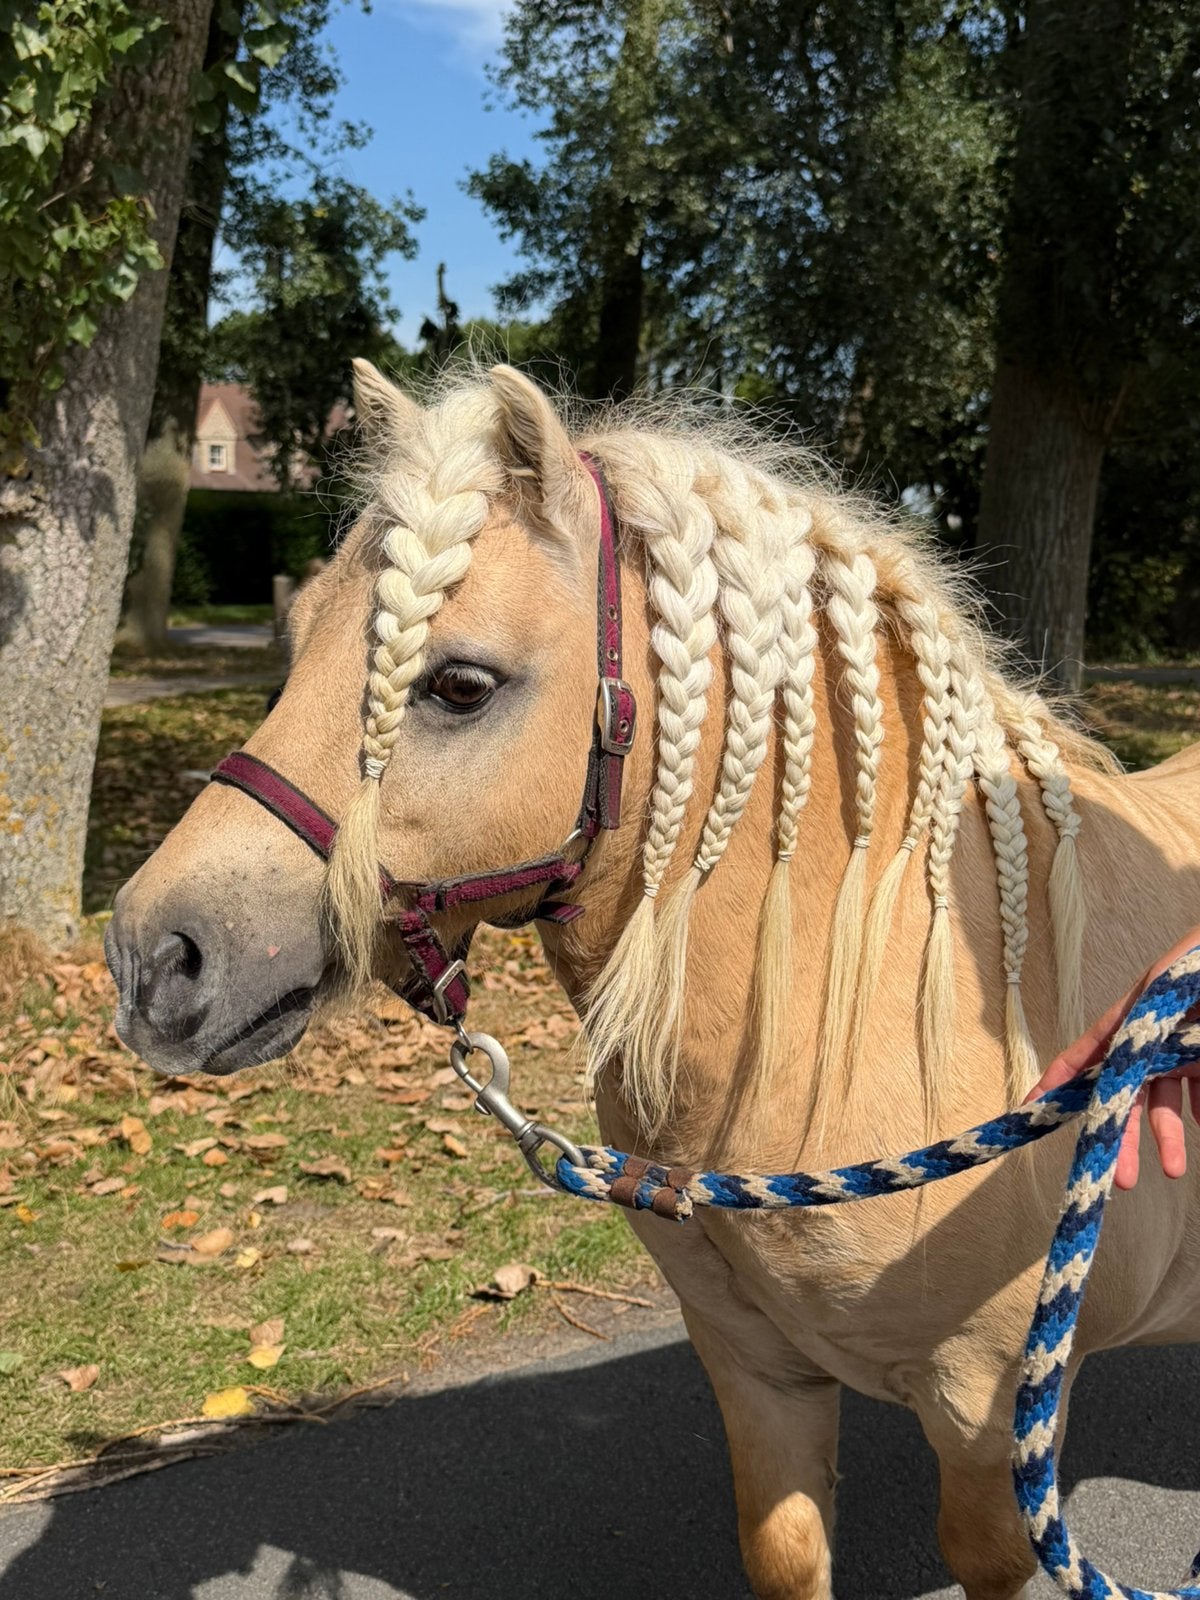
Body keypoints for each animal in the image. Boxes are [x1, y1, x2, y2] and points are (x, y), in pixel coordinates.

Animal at [106, 361, 1200, 1599]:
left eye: (461, 683)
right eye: (295, 641)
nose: (154, 957)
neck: (866, 1002)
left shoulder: (983, 1415)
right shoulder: (755, 1371)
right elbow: (784, 1547)